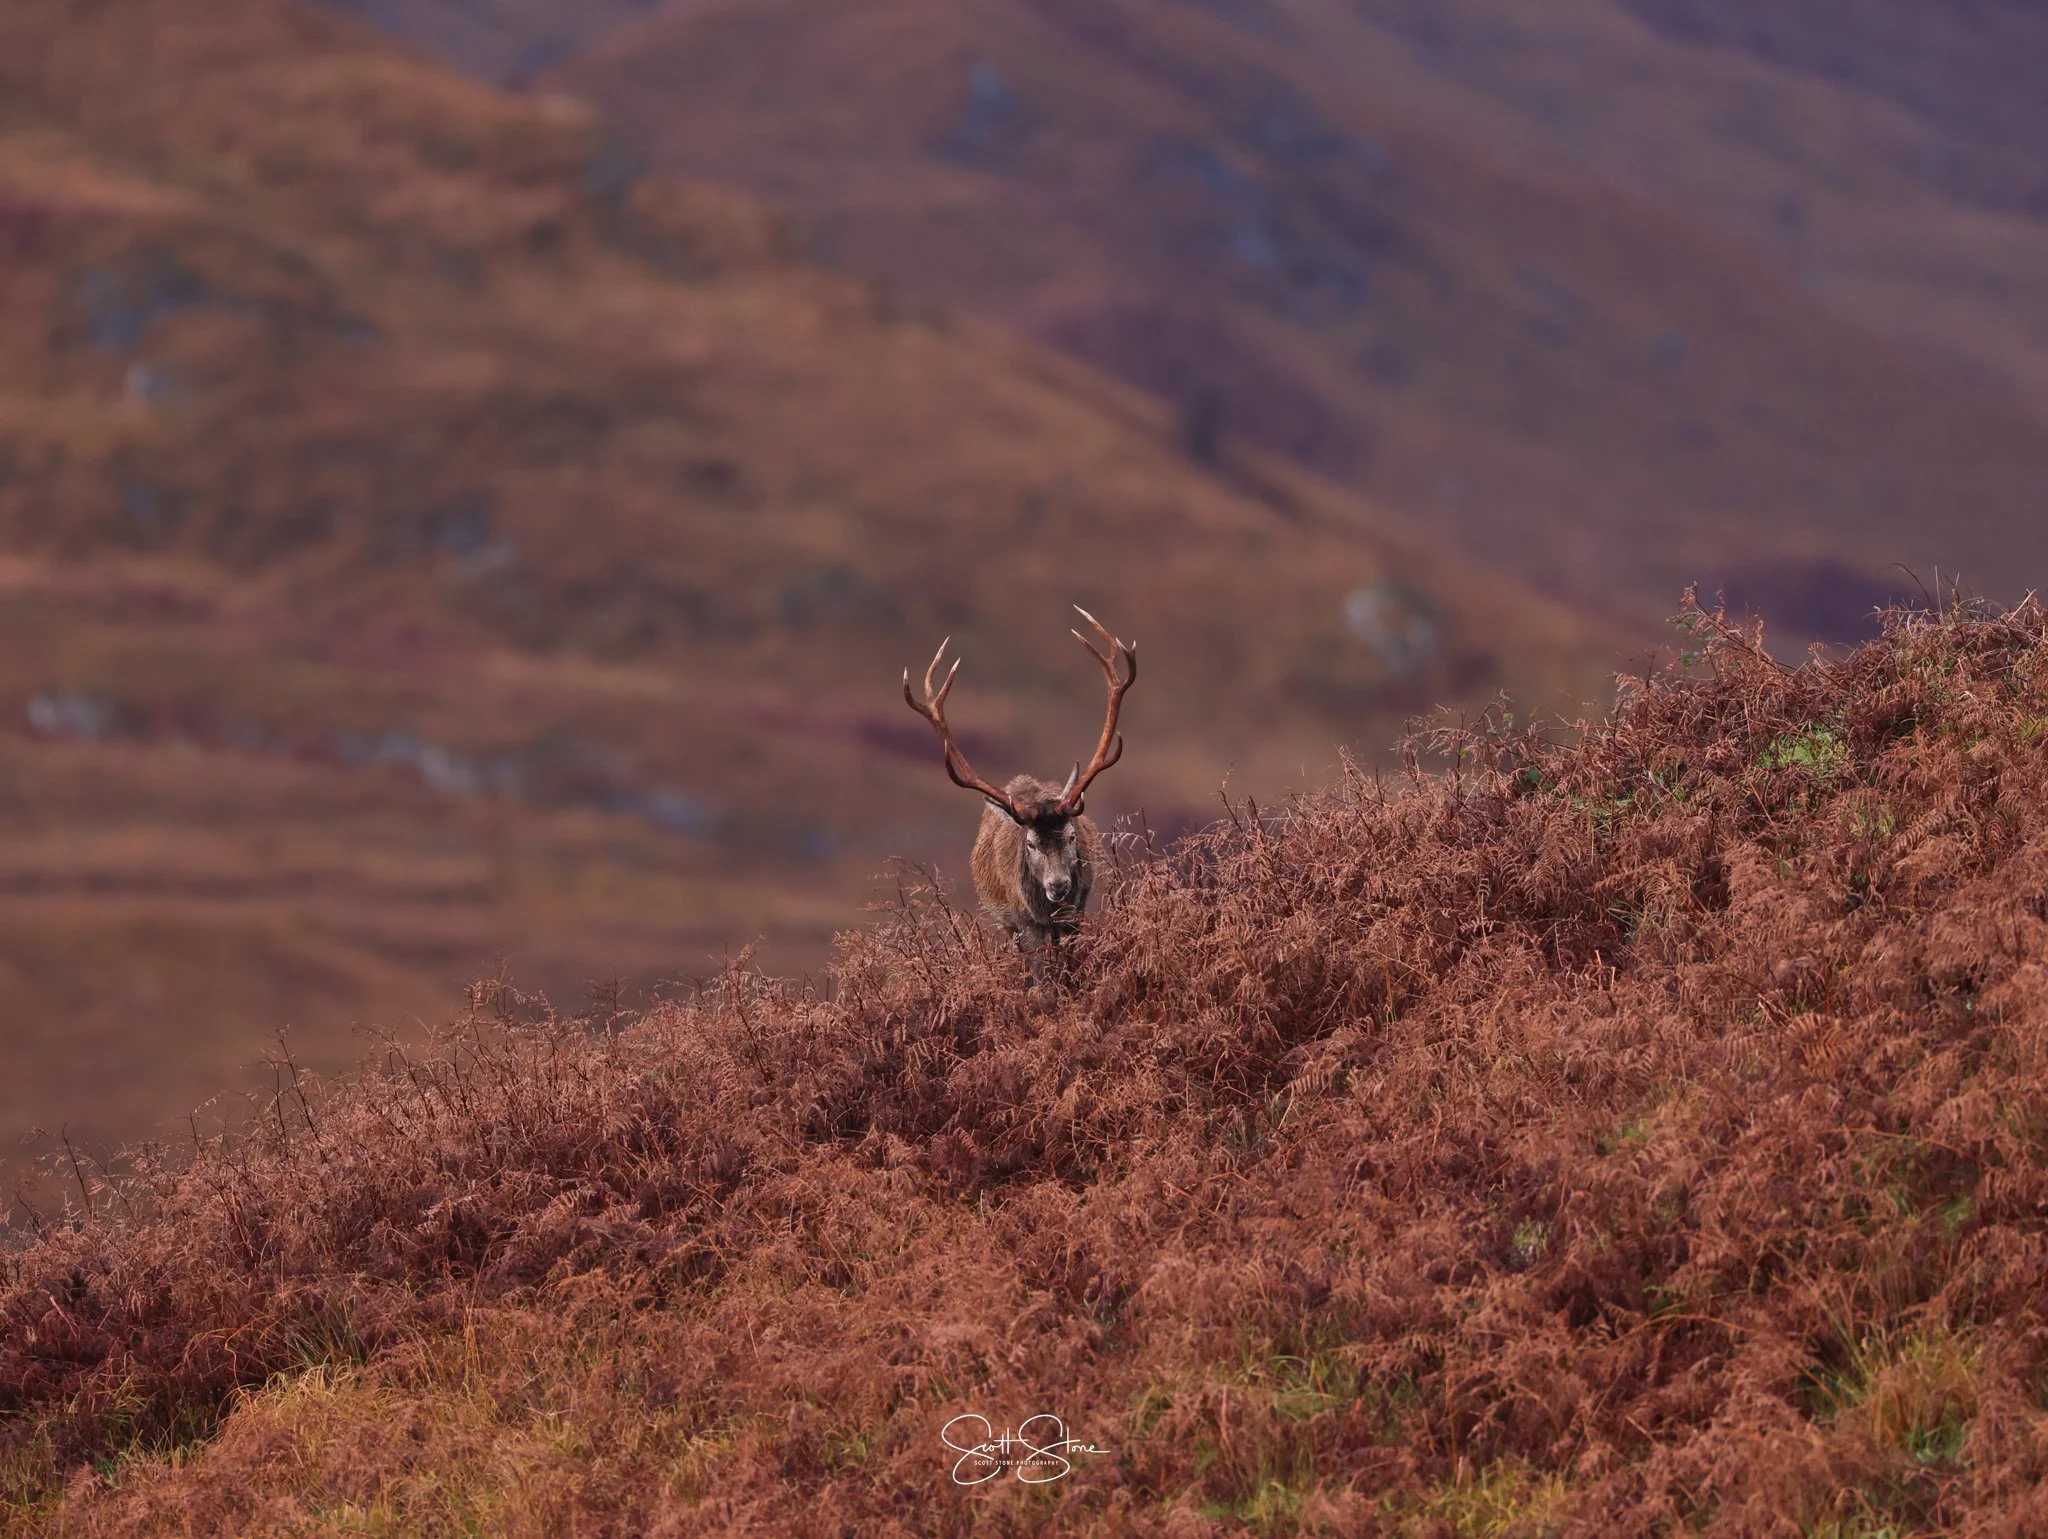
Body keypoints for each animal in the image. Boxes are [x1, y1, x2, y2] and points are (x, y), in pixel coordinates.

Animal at [904, 608, 1137, 952]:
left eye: (1071, 836)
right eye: (1030, 843)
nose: (1059, 886)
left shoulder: (1078, 912)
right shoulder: (1024, 923)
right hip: (1003, 920)